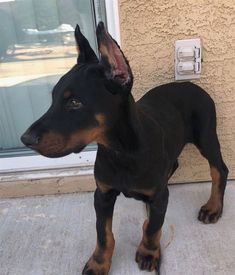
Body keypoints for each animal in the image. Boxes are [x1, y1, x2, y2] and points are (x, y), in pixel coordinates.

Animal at [21, 22, 228, 274]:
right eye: (53, 98)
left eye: (75, 102)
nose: (25, 139)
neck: (120, 152)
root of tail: (190, 84)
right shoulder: (102, 194)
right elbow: (104, 233)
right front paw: (99, 262)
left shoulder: (159, 196)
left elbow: (153, 228)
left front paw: (149, 252)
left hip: (206, 137)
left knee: (219, 170)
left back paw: (213, 207)